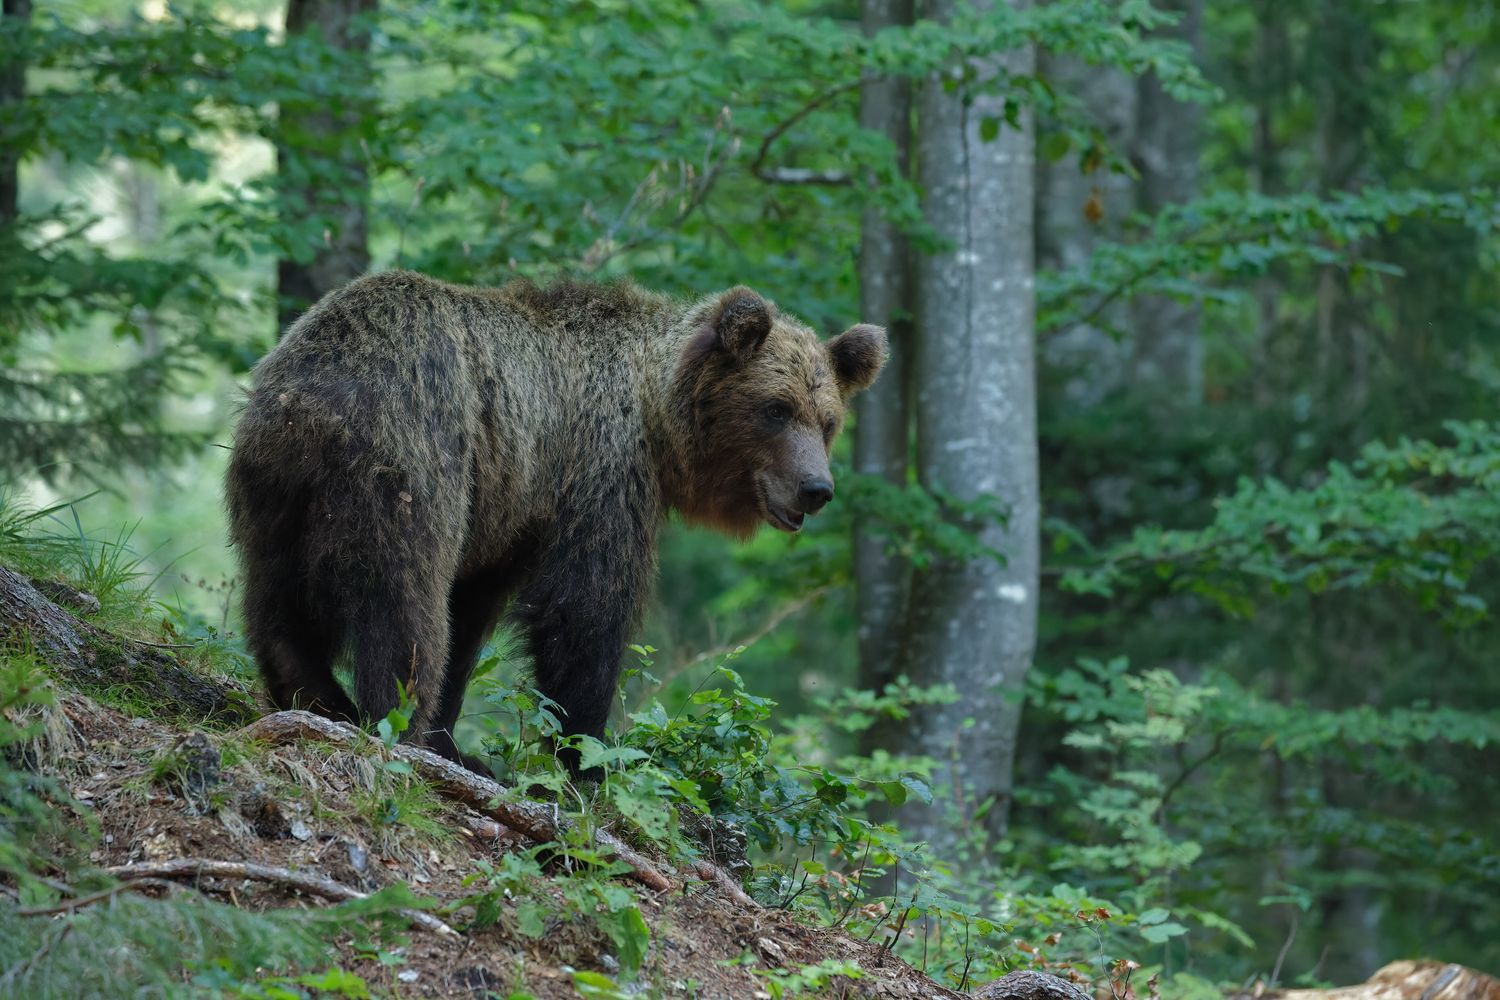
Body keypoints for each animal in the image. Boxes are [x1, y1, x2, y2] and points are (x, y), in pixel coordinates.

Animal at [225, 270, 885, 772]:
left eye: (828, 420)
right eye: (776, 409)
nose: (816, 489)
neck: (656, 413)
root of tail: (315, 390)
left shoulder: (507, 514)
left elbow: (472, 613)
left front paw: (455, 739)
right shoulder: (600, 470)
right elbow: (585, 610)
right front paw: (586, 755)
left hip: (276, 486)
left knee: (276, 598)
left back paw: (317, 697)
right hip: (414, 451)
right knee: (403, 600)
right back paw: (392, 721)